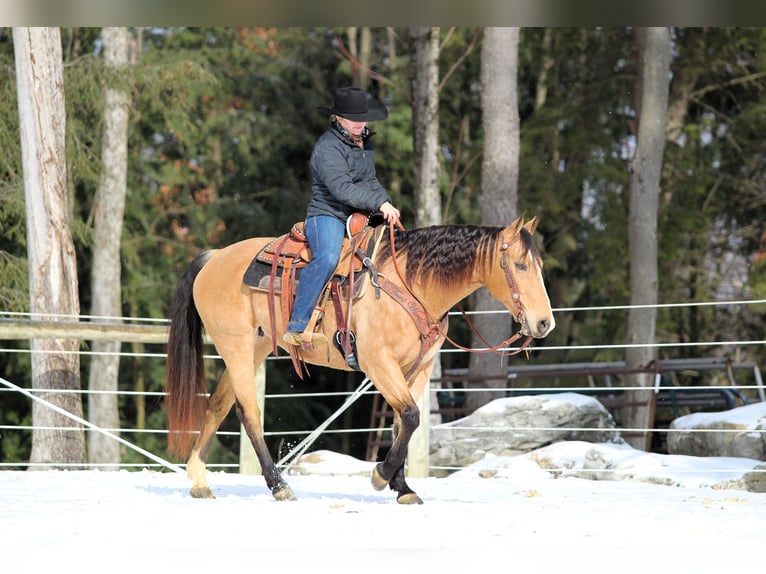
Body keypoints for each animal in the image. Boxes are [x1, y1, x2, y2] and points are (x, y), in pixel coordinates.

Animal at [165, 215, 556, 504]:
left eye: (538, 264)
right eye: (520, 265)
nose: (544, 323)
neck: (412, 284)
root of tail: (215, 257)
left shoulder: (418, 369)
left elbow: (401, 424)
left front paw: (403, 488)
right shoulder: (378, 364)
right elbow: (410, 416)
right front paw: (381, 476)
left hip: (253, 349)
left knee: (218, 405)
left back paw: (199, 480)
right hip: (236, 348)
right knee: (249, 413)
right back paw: (279, 485)